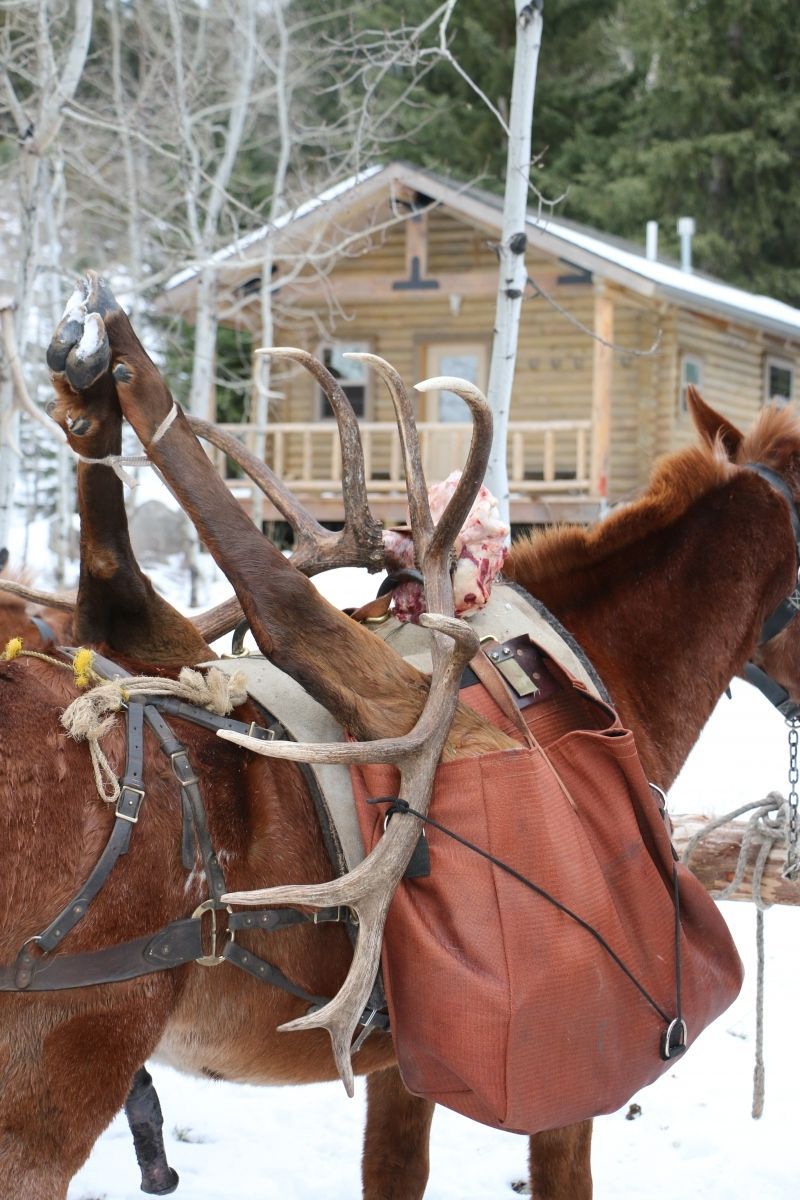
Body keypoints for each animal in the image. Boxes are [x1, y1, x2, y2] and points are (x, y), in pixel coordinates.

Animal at [2, 273, 799, 1200]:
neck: (622, 675)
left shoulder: (401, 1060)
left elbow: (392, 1169)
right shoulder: (579, 1078)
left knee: (131, 590)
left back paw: (97, 392)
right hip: (59, 1082)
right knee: (272, 606)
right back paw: (126, 371)